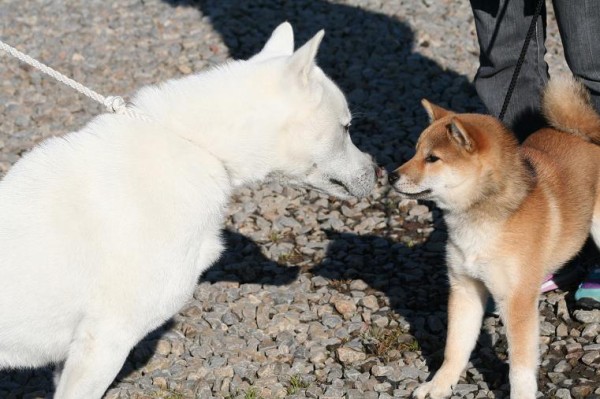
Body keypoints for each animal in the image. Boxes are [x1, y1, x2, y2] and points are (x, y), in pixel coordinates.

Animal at [390, 76, 600, 399]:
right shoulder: (464, 288)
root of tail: (588, 133)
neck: (482, 221)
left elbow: (520, 368)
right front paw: (439, 385)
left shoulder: (518, 302)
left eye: (432, 158)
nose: (391, 175)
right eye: (415, 151)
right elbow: (455, 349)